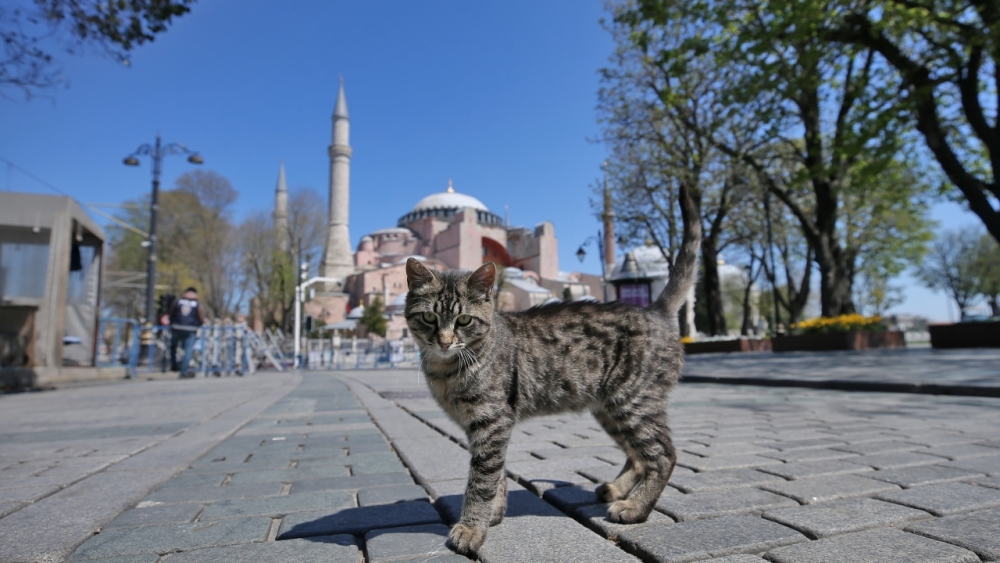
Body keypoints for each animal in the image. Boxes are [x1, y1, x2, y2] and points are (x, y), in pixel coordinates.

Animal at [402, 189, 700, 556]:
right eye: (430, 318)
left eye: (464, 320)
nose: (444, 341)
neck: (447, 369)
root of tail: (655, 310)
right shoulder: (482, 428)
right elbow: (496, 474)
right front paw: (494, 513)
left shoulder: (492, 421)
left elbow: (482, 480)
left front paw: (471, 527)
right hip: (611, 409)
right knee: (639, 455)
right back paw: (617, 489)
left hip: (633, 402)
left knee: (663, 456)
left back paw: (635, 507)